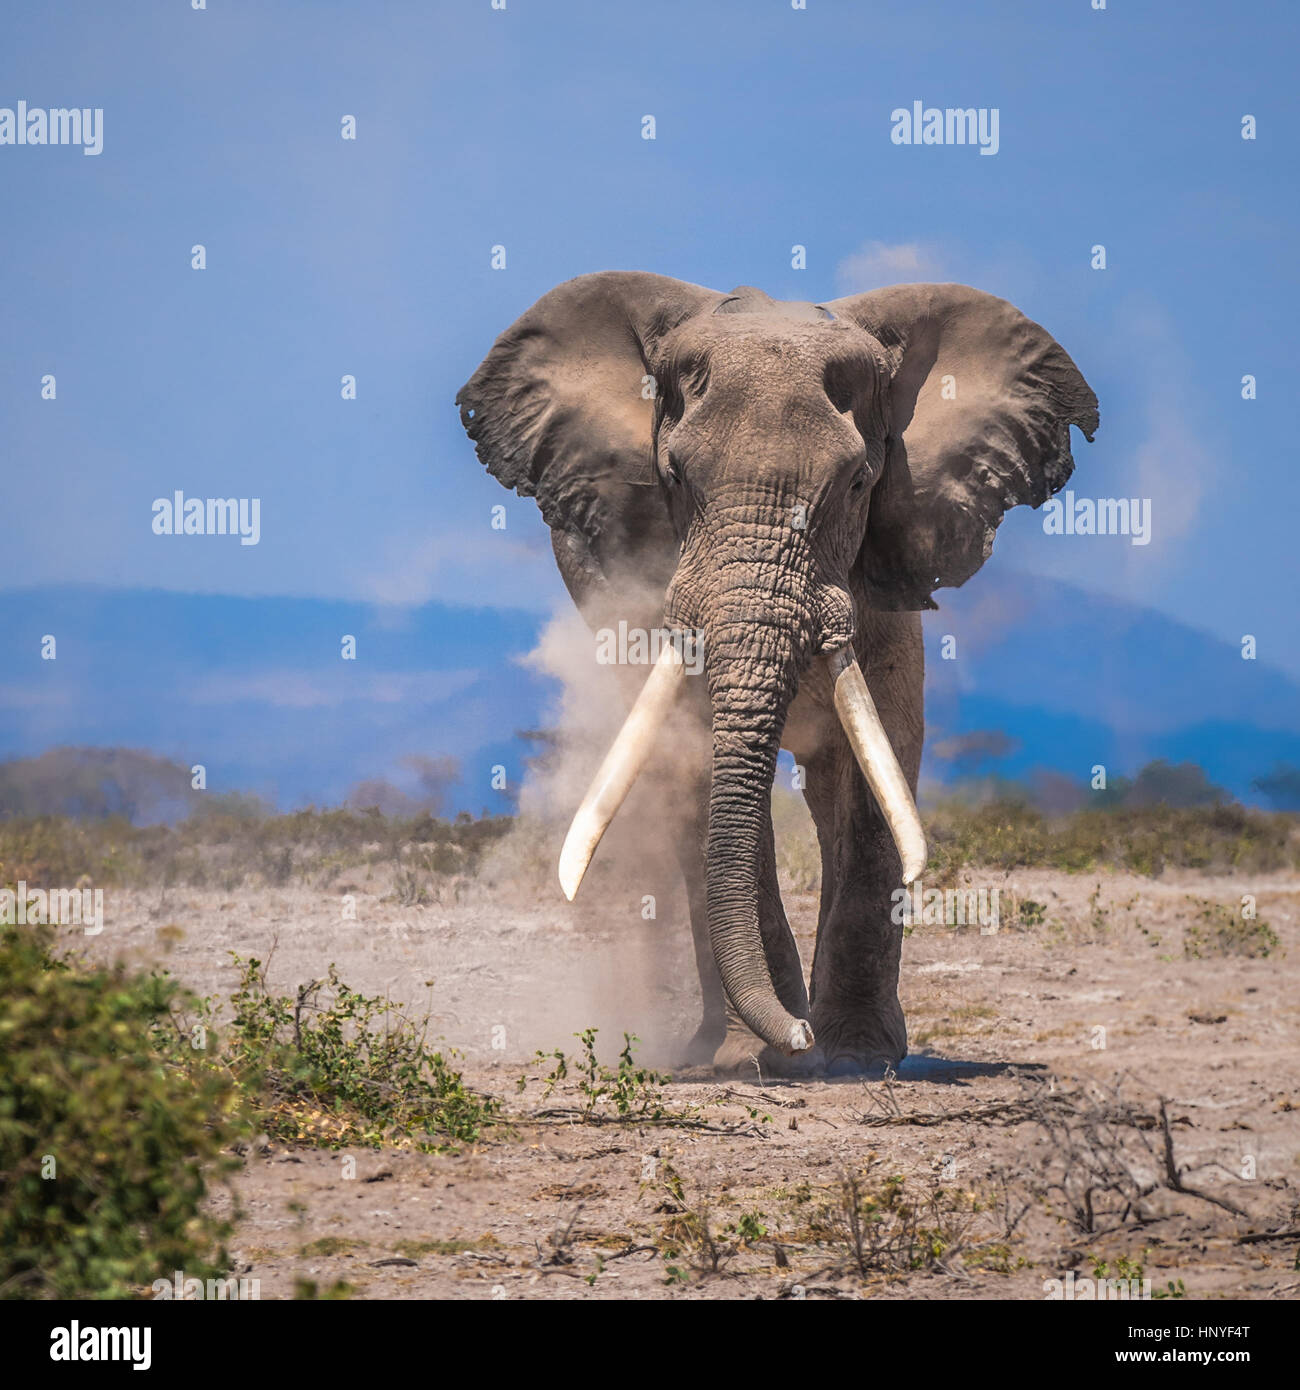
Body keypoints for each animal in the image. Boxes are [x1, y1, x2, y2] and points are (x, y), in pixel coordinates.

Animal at [458, 271, 1095, 1073]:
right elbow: (704, 770)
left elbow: (878, 763)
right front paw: (752, 1057)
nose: (800, 1036)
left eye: (857, 483)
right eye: (674, 477)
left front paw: (855, 1057)